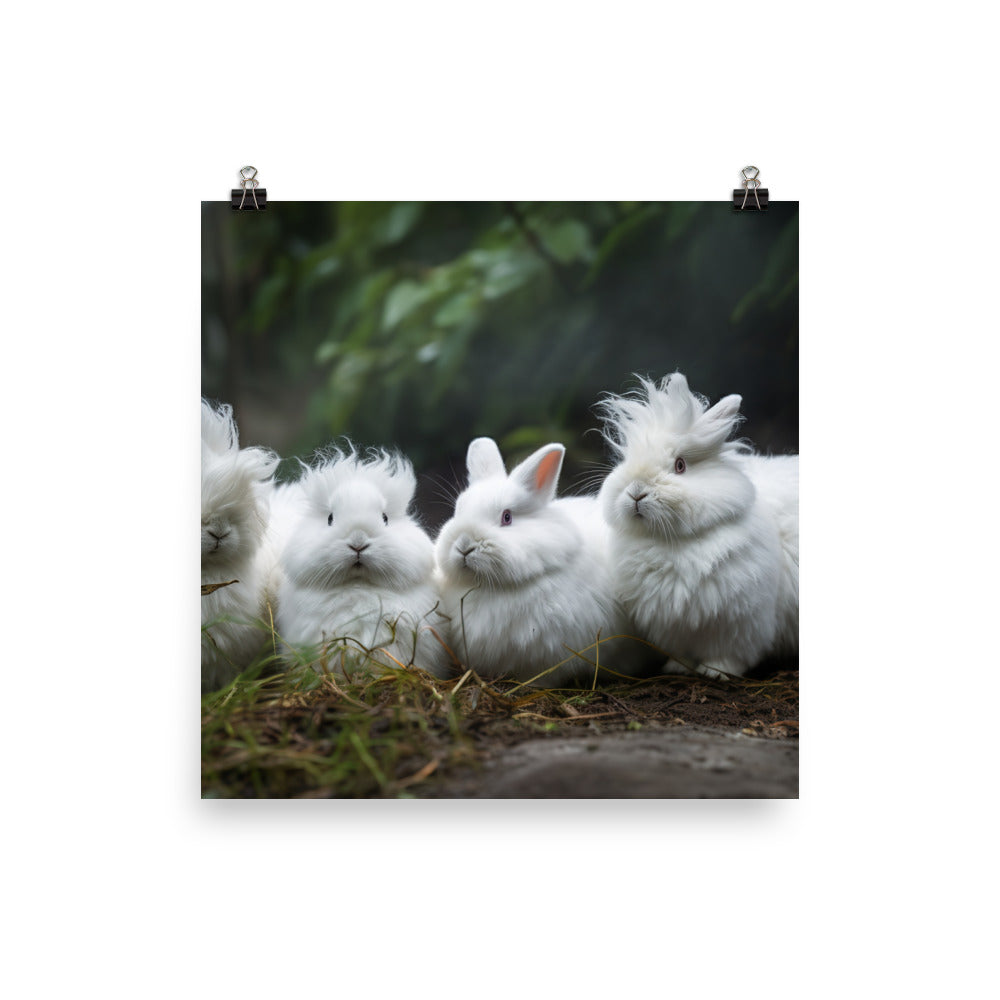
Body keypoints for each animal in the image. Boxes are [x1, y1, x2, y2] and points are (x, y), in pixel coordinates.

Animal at [595, 372, 799, 679]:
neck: (671, 542)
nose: (636, 493)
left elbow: (732, 655)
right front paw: (677, 669)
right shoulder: (675, 628)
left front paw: (716, 672)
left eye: (680, 465)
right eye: (626, 460)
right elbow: (682, 654)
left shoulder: (741, 624)